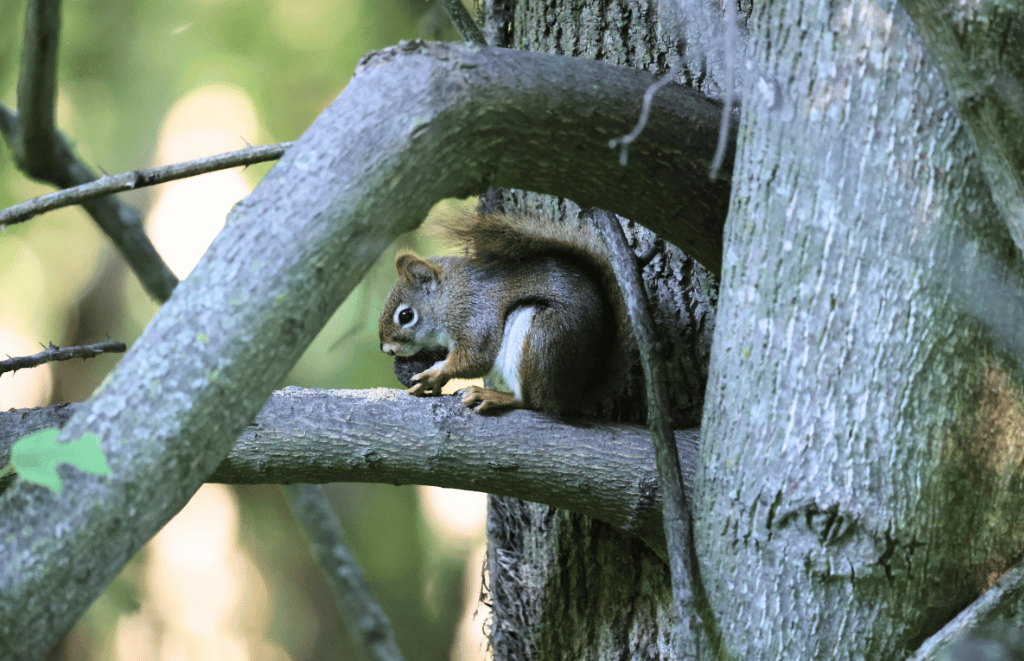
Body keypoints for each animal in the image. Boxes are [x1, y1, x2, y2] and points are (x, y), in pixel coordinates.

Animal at [379, 211, 635, 415]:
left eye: (405, 315)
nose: (387, 350)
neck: (452, 296)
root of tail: (577, 393)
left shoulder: (476, 315)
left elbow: (476, 358)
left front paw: (435, 374)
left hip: (542, 337)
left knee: (533, 402)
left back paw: (495, 397)